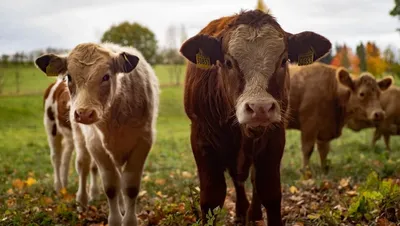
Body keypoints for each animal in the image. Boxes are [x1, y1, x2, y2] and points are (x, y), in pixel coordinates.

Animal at [34, 42, 159, 226]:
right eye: (69, 77)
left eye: (106, 76)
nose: (84, 113)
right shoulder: (96, 144)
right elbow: (111, 186)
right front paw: (115, 220)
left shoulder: (143, 142)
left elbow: (129, 186)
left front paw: (127, 217)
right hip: (55, 129)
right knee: (69, 161)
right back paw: (70, 193)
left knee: (69, 158)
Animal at [180, 9, 332, 226]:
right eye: (228, 62)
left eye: (283, 61)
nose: (260, 108)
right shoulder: (201, 139)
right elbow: (212, 198)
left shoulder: (275, 137)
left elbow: (270, 191)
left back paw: (253, 213)